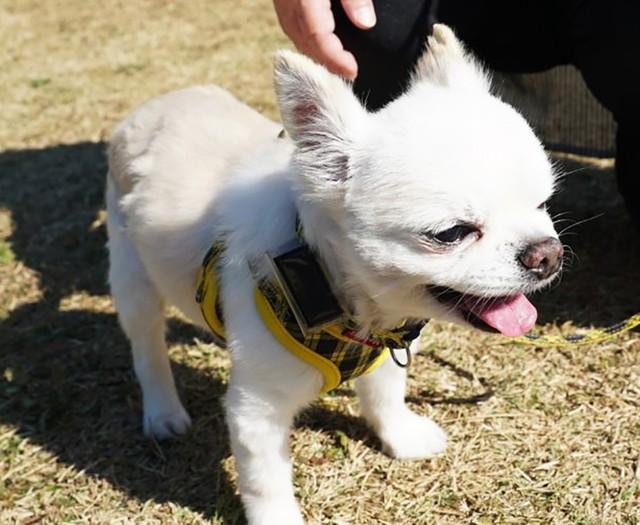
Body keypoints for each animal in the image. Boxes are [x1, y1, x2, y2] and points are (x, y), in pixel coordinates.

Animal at [107, 25, 564, 524]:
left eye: (543, 203)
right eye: (452, 234)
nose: (547, 254)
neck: (349, 309)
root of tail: (153, 107)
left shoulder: (386, 352)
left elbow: (385, 395)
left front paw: (401, 437)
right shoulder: (257, 409)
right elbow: (266, 482)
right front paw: (279, 520)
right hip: (131, 275)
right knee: (147, 348)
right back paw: (162, 411)